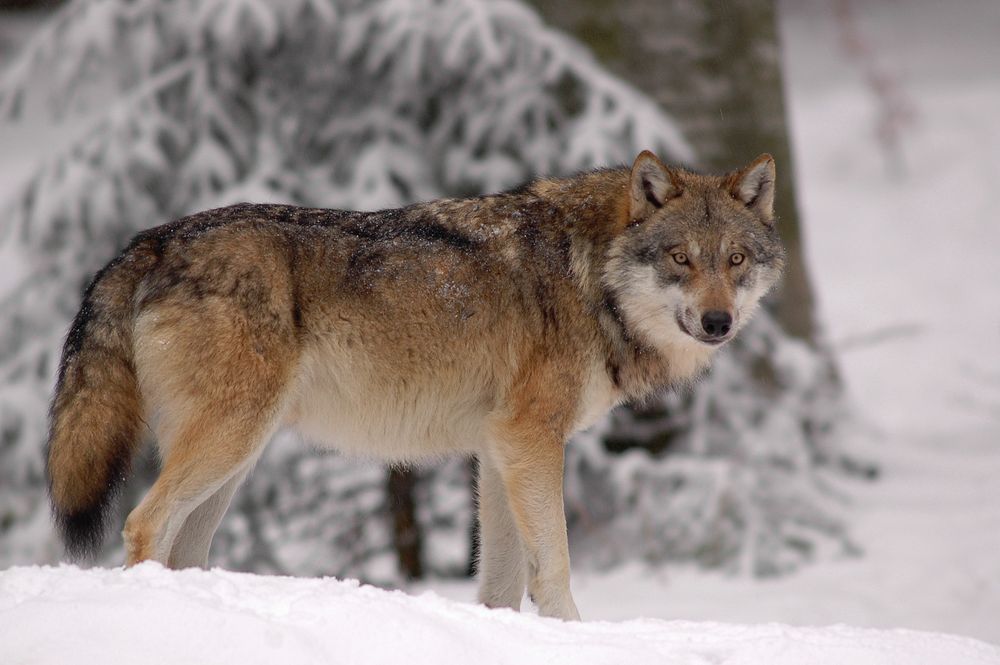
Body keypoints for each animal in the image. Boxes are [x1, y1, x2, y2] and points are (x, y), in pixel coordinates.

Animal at [45, 149, 780, 616]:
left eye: (735, 260)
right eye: (680, 259)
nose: (717, 321)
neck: (590, 275)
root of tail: (154, 238)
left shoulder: (498, 451)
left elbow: (501, 584)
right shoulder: (531, 441)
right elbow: (555, 568)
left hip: (235, 458)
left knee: (184, 547)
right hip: (229, 440)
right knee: (143, 524)